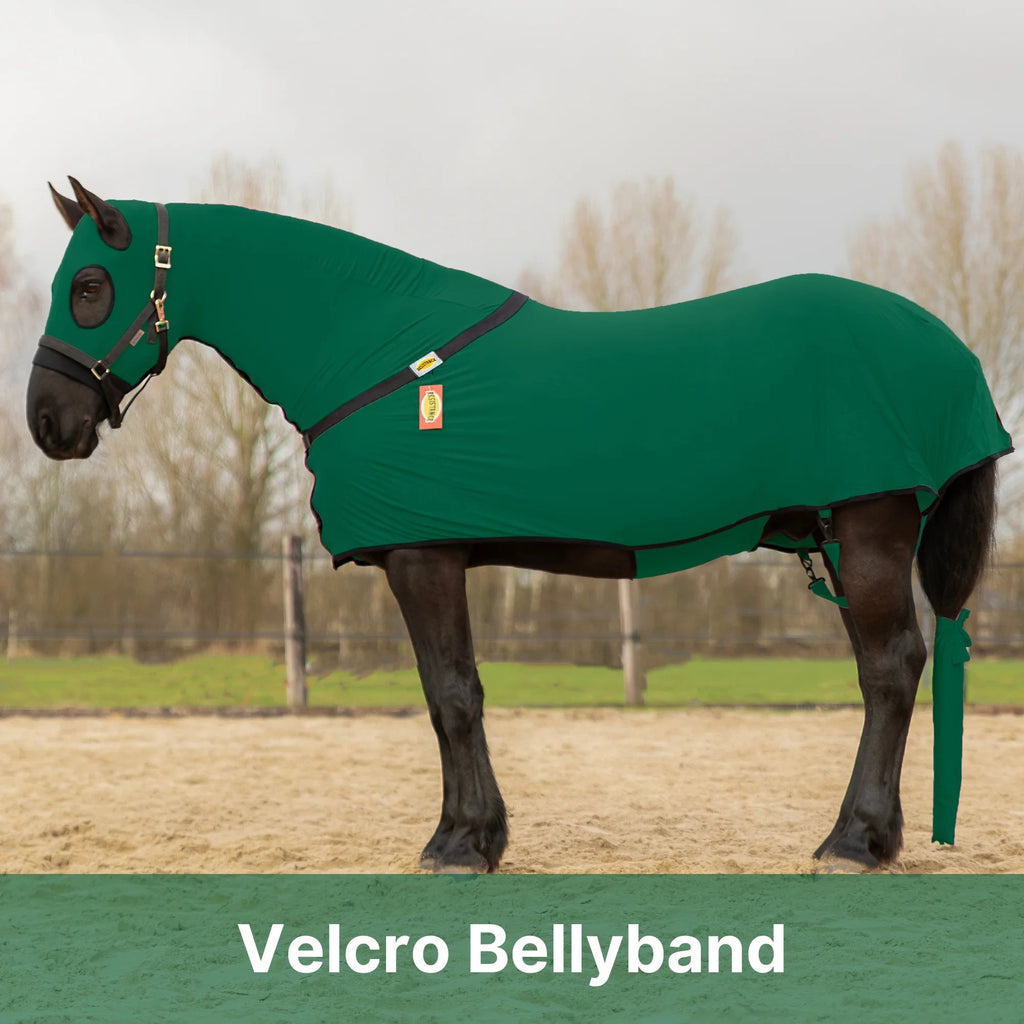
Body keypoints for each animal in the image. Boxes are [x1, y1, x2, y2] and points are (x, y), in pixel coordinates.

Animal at [26, 178, 1011, 873]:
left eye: (90, 286)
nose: (47, 422)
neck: (380, 352)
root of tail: (947, 346)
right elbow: (451, 695)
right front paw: (477, 835)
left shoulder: (422, 556)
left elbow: (451, 694)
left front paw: (461, 844)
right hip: (844, 540)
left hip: (870, 531)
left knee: (890, 670)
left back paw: (854, 842)